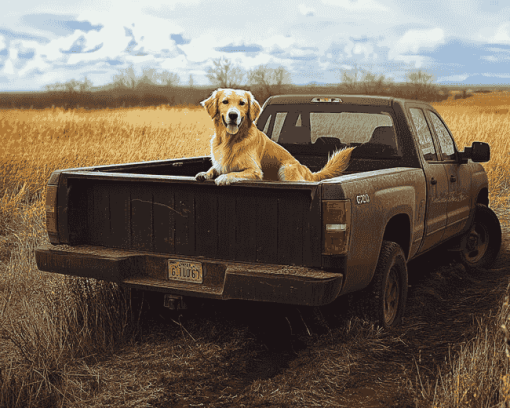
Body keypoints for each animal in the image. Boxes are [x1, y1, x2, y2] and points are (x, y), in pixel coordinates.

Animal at [195, 89, 354, 186]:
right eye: (225, 102)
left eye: (242, 103)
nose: (233, 115)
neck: (230, 140)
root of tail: (308, 172)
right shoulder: (219, 164)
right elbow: (213, 169)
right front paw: (204, 173)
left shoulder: (255, 171)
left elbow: (234, 173)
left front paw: (223, 178)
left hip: (285, 168)